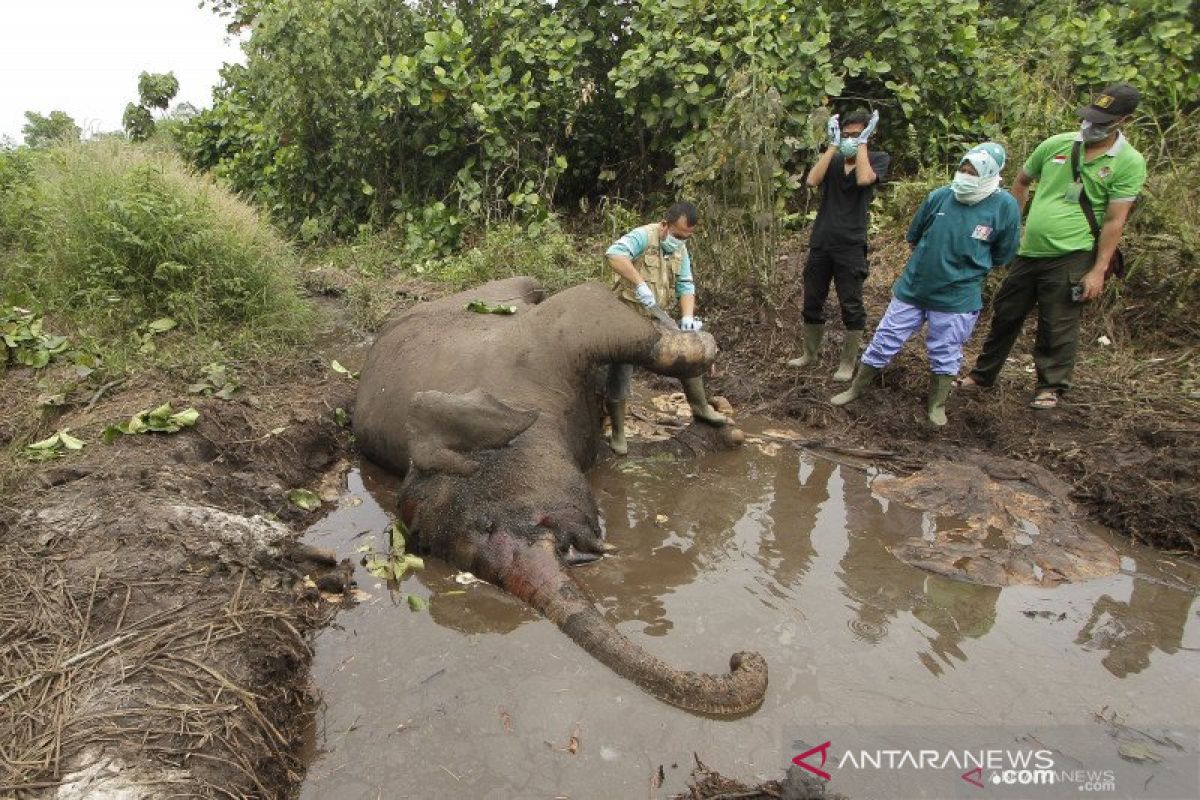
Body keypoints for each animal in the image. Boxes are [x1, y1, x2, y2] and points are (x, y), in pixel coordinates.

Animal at [352, 278, 768, 714]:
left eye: (487, 524)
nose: (741, 659)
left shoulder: (558, 332)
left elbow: (609, 309)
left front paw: (705, 353)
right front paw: (723, 429)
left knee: (531, 285)